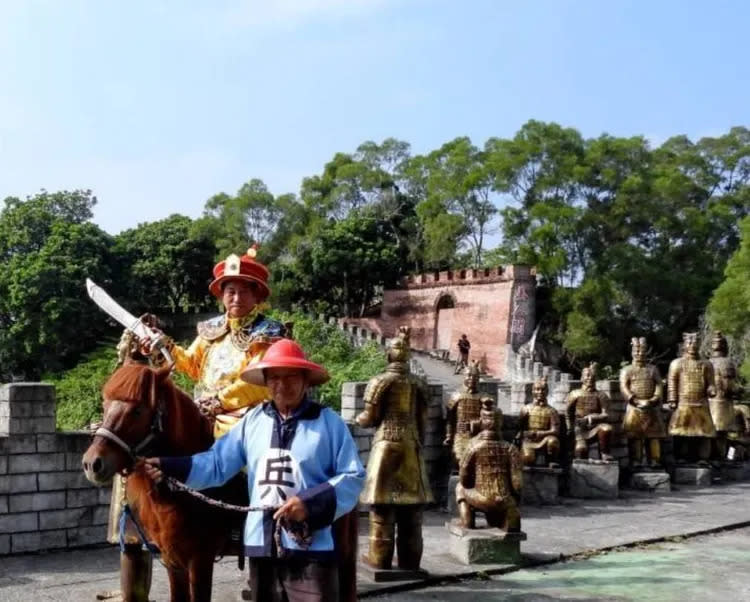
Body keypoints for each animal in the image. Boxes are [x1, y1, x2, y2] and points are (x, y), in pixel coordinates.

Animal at [81, 360, 360, 600]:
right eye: (105, 406)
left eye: (138, 410)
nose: (92, 463)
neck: (180, 497)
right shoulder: (174, 561)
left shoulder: (200, 560)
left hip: (342, 551)